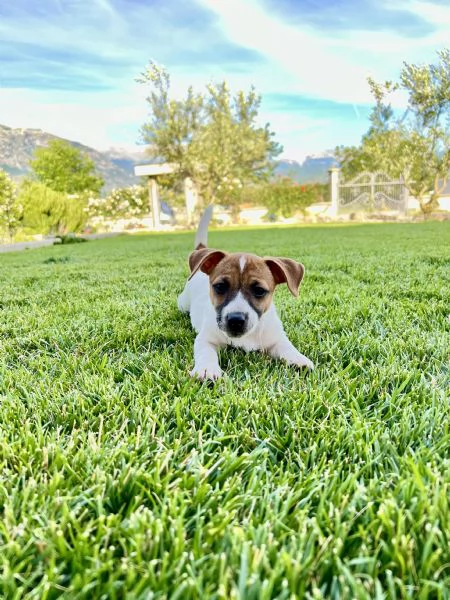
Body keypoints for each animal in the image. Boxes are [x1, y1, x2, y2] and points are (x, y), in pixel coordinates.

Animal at [177, 207, 312, 380]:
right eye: (220, 287)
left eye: (259, 290)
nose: (235, 320)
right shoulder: (205, 339)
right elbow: (206, 353)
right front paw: (207, 369)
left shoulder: (276, 338)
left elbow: (287, 346)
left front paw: (298, 359)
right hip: (182, 303)